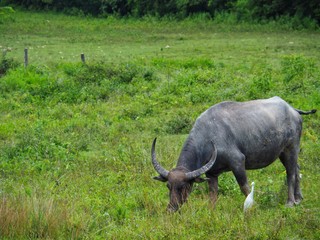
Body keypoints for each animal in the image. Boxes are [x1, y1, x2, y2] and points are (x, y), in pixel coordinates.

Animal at [151, 96, 316, 211]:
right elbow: (213, 194)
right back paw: (299, 198)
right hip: (283, 152)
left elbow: (245, 188)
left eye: (184, 186)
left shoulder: (238, 162)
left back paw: (290, 202)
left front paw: (253, 206)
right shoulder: (212, 173)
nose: (171, 209)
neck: (208, 136)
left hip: (291, 148)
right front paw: (211, 211)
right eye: (168, 186)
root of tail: (293, 110)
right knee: (297, 169)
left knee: (290, 173)